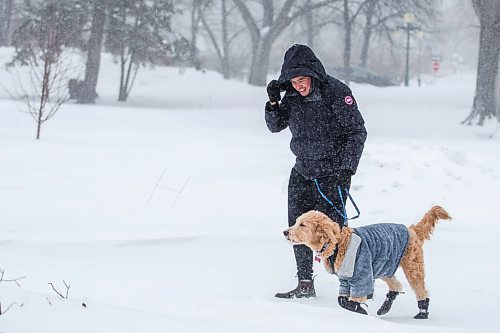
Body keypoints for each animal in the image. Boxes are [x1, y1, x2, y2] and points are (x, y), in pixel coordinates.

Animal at [284, 205, 452, 316]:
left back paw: (422, 311)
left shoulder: (361, 275)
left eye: (302, 224)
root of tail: (411, 230)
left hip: (412, 267)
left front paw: (360, 309)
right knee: (396, 285)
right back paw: (385, 306)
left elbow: (354, 299)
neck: (337, 243)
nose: (285, 232)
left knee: (420, 289)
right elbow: (341, 300)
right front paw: (358, 309)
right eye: (296, 221)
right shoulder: (345, 278)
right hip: (384, 266)